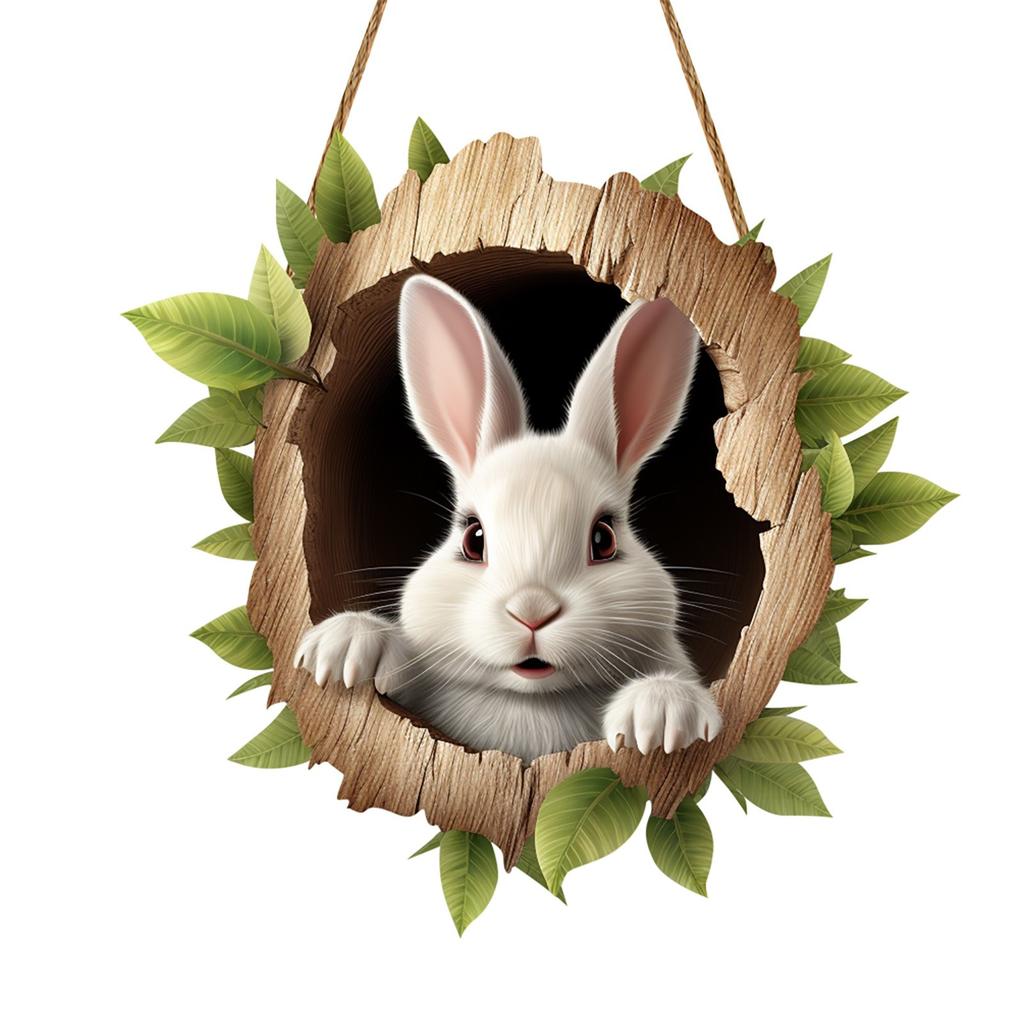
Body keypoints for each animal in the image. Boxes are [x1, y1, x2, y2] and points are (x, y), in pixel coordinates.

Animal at [294, 274, 722, 764]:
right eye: (473, 539)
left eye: (604, 540)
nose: (531, 612)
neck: (531, 701)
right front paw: (345, 647)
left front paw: (663, 711)